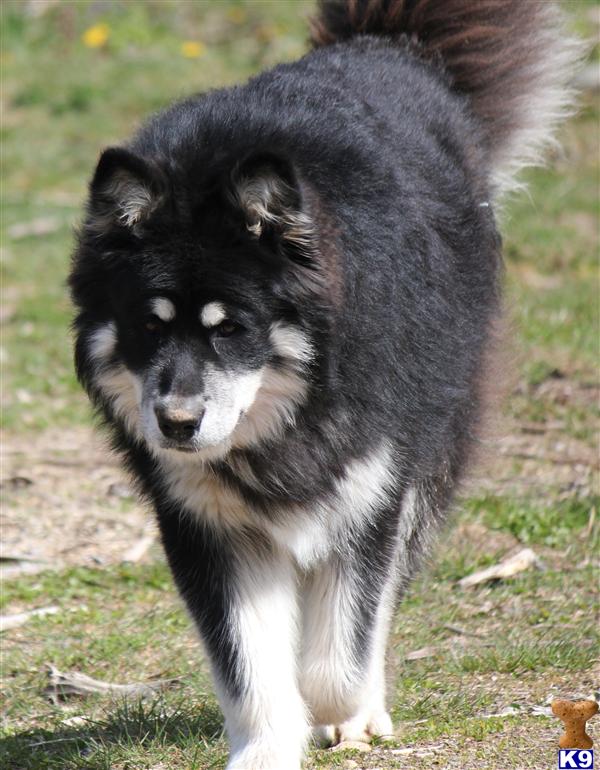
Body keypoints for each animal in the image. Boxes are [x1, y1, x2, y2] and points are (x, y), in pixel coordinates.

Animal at [68, 3, 580, 764]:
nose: (177, 423)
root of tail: (389, 49)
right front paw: (268, 746)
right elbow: (250, 665)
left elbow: (339, 653)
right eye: (148, 327)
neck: (294, 415)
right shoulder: (209, 526)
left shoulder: (372, 493)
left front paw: (348, 713)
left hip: (434, 452)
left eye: (231, 328)